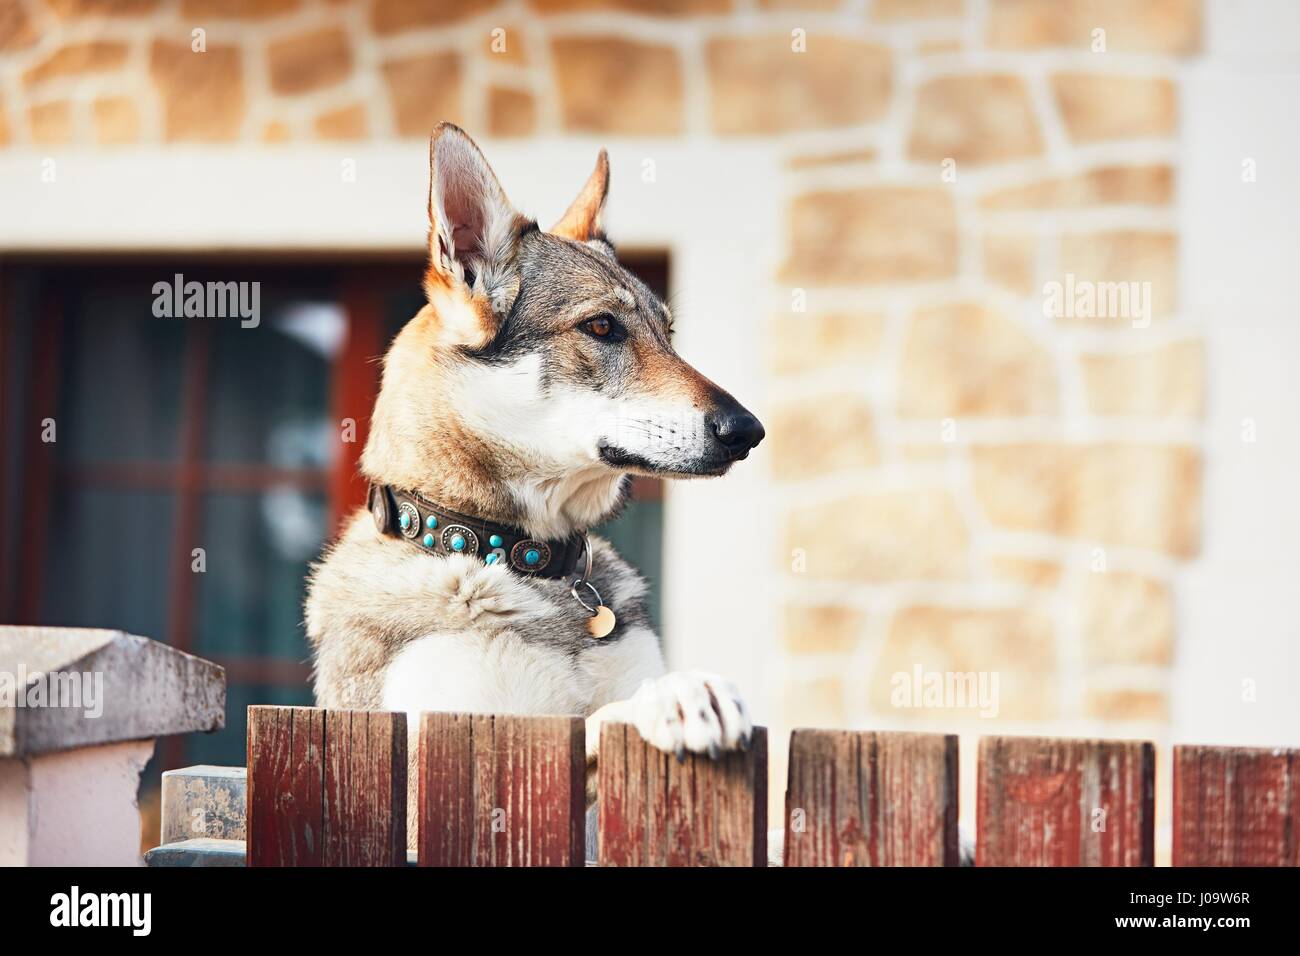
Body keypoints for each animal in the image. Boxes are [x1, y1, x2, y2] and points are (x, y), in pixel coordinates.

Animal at [305, 121, 764, 806]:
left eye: (669, 334)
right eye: (601, 327)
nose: (749, 431)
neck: (520, 558)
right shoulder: (457, 751)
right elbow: (596, 720)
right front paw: (678, 696)